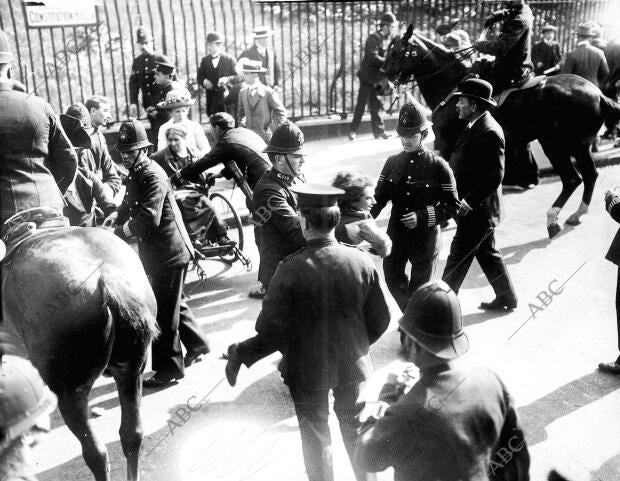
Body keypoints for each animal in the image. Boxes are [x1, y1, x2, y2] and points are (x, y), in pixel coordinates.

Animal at [382, 25, 620, 236]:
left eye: (396, 51)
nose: (382, 85)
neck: (453, 87)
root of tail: (599, 94)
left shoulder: (447, 145)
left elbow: (449, 179)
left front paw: (444, 217)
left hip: (555, 144)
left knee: (572, 179)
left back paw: (552, 218)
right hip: (580, 146)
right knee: (590, 174)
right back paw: (579, 213)